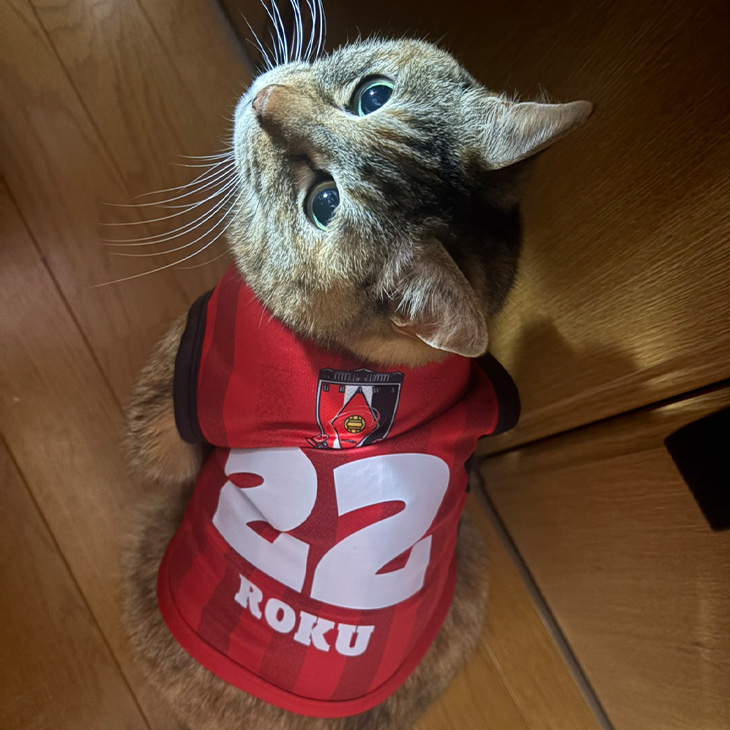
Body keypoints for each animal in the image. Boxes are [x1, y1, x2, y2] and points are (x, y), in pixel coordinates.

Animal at [123, 19, 591, 730]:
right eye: (374, 94)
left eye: (324, 202)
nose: (264, 101)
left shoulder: (189, 374)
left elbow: (159, 450)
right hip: (472, 563)